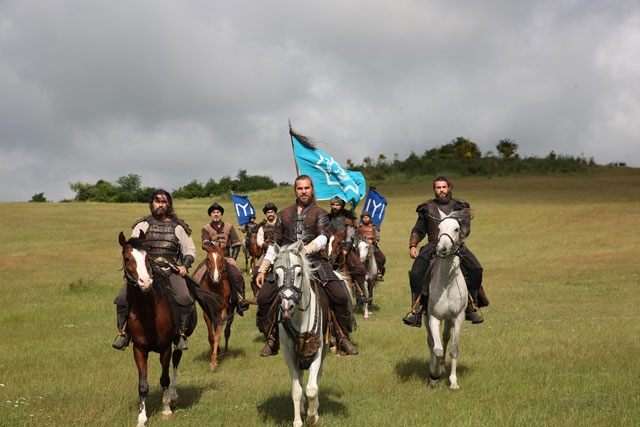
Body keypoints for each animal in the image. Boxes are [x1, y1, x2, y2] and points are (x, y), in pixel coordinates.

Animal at [120, 232, 222, 426]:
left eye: (147, 257)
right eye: (127, 258)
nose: (145, 281)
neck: (148, 314)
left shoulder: (165, 348)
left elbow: (165, 378)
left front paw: (166, 409)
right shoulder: (139, 349)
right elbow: (143, 385)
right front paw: (142, 418)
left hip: (178, 339)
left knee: (177, 358)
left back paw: (173, 397)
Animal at [272, 242, 330, 426]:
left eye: (298, 273)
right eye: (276, 274)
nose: (287, 306)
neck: (300, 316)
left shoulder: (317, 350)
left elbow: (312, 388)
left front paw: (313, 417)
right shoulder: (290, 353)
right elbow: (296, 390)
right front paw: (298, 421)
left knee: (317, 377)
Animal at [424, 209, 470, 390]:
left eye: (456, 229)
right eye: (439, 227)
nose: (442, 249)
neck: (446, 283)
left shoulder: (458, 318)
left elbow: (453, 349)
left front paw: (453, 381)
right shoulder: (434, 317)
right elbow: (437, 349)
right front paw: (434, 375)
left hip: (449, 319)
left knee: (445, 338)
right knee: (431, 342)